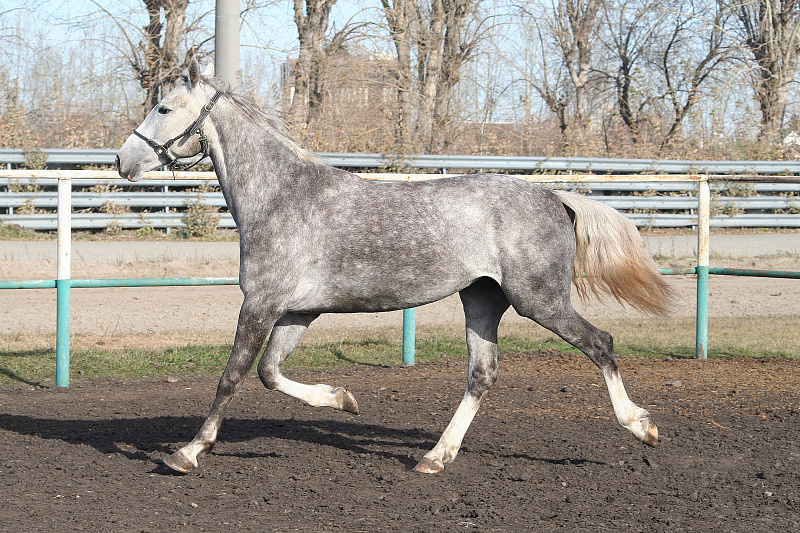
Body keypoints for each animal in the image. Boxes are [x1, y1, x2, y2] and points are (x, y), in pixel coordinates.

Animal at [116, 60, 672, 474]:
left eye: (164, 106)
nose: (123, 161)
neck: (280, 198)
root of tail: (556, 198)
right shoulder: (297, 312)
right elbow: (271, 374)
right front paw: (345, 399)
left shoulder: (260, 305)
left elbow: (232, 377)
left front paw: (187, 452)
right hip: (482, 301)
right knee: (482, 374)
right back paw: (435, 456)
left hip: (540, 300)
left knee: (601, 344)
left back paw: (642, 426)